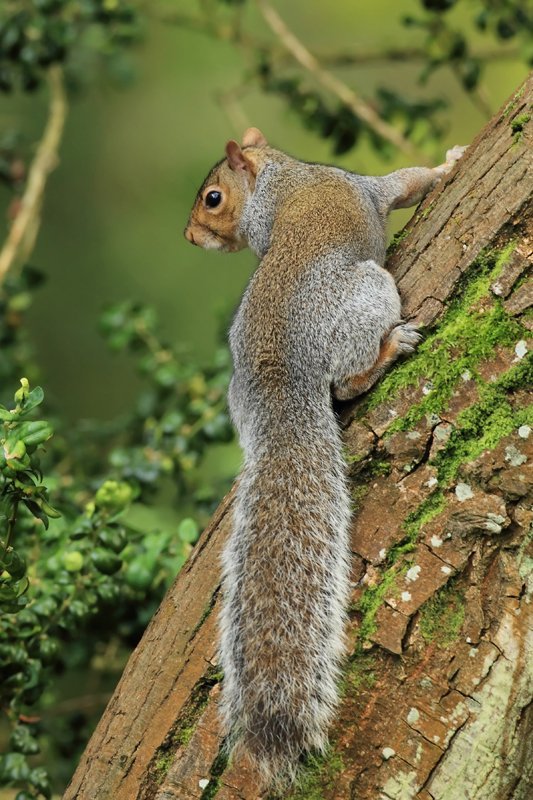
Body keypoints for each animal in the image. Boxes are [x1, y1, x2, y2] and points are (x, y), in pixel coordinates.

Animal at [184, 130, 466, 788]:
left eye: (212, 199)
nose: (189, 236)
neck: (283, 177)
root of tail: (282, 384)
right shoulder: (367, 188)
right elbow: (406, 184)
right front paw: (450, 165)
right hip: (366, 294)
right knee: (348, 381)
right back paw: (389, 348)